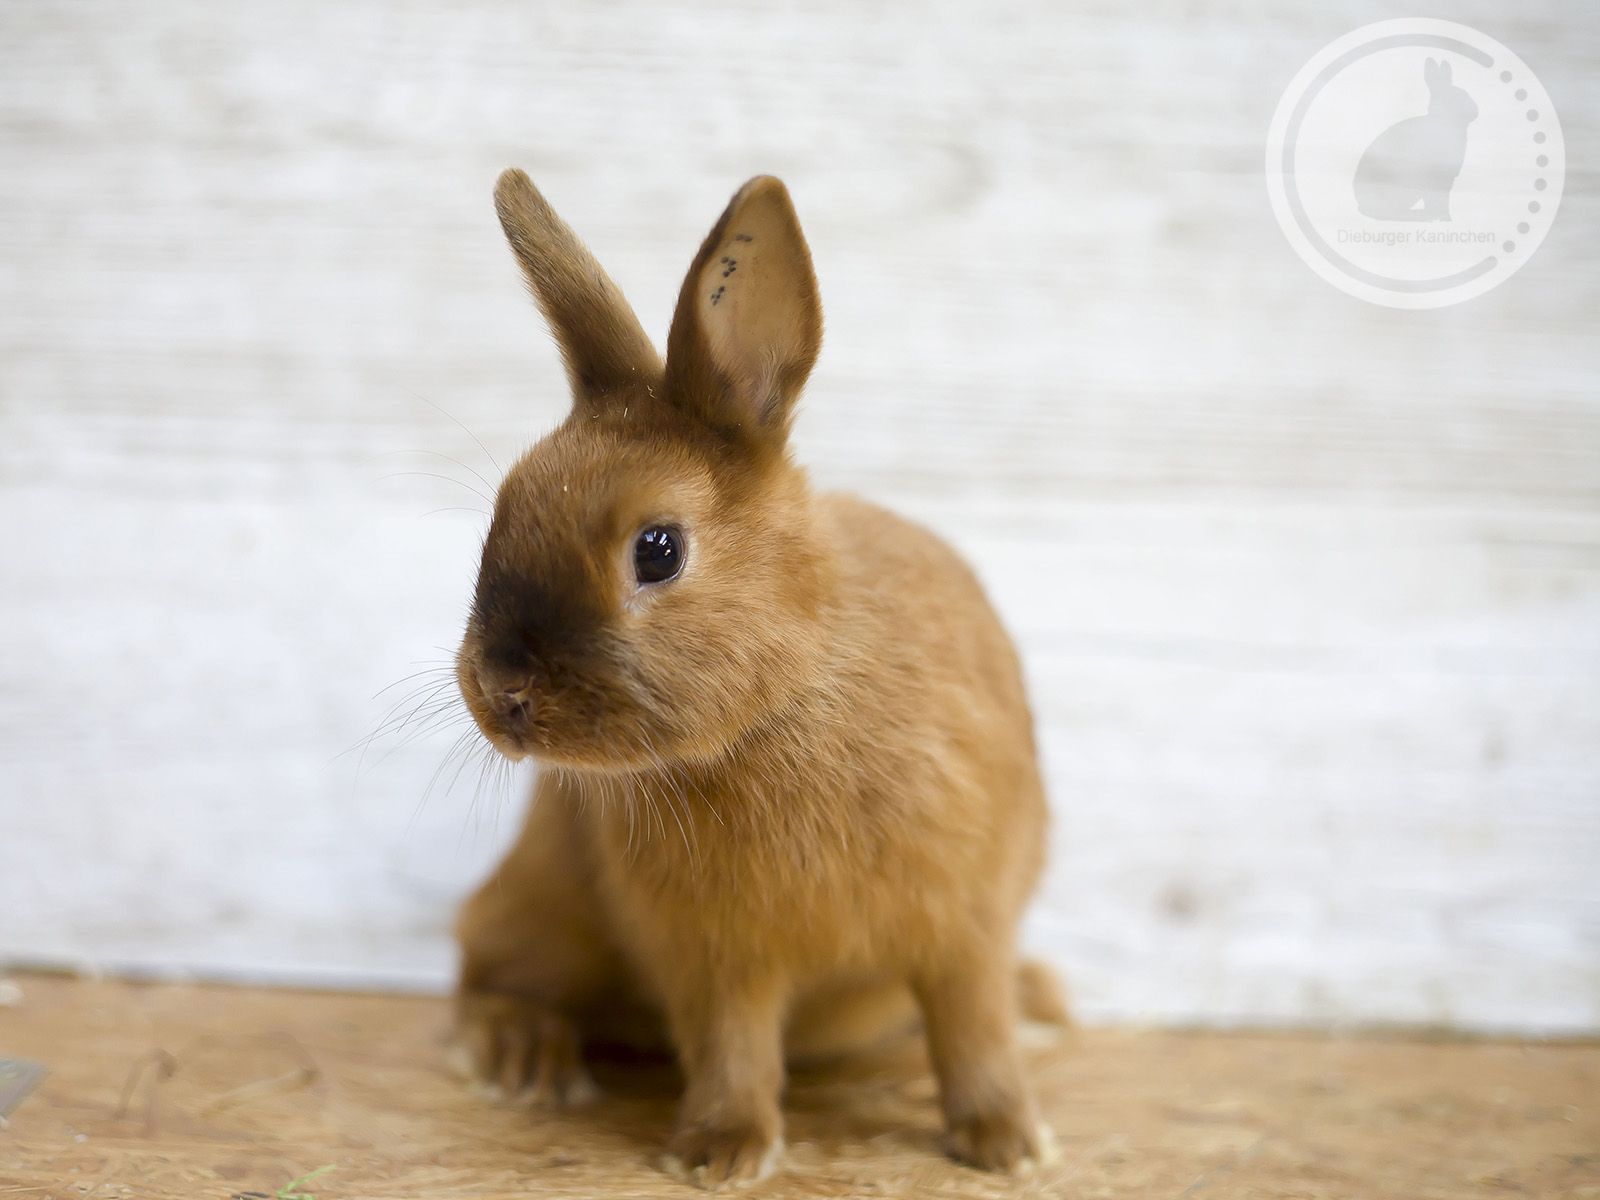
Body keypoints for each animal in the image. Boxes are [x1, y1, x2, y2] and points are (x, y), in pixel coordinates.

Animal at [450, 169, 1066, 1189]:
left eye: (658, 549)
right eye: (502, 512)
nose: (503, 697)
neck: (788, 702)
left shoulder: (966, 919)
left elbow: (973, 1028)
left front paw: (1007, 1143)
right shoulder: (714, 954)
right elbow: (730, 1044)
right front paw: (720, 1153)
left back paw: (1044, 1000)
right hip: (546, 907)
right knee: (481, 966)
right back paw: (519, 1055)